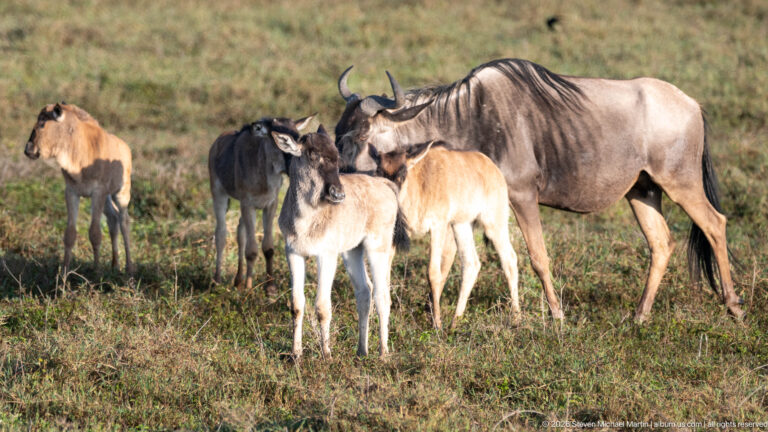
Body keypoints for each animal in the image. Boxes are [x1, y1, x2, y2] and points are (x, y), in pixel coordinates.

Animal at [24, 102, 134, 275]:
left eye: (42, 123)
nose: (28, 150)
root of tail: (126, 148)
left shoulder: (98, 193)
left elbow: (95, 233)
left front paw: (96, 271)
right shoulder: (72, 192)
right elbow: (70, 233)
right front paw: (64, 273)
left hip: (121, 194)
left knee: (124, 222)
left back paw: (129, 268)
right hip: (107, 199)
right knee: (113, 219)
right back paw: (115, 265)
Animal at [208, 115, 313, 295]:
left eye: (298, 138)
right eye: (279, 141)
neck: (265, 173)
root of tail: (216, 143)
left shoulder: (270, 204)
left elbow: (268, 247)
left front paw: (270, 287)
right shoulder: (248, 204)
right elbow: (251, 250)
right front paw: (249, 288)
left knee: (240, 231)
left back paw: (238, 280)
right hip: (219, 194)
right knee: (221, 234)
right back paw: (217, 281)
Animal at [271, 125, 408, 359]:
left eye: (336, 157)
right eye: (312, 154)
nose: (338, 194)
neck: (306, 220)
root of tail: (385, 184)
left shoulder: (326, 255)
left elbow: (322, 306)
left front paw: (326, 354)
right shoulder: (293, 253)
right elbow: (296, 304)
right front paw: (295, 354)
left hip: (377, 247)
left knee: (382, 295)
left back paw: (383, 354)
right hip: (352, 252)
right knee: (364, 291)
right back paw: (361, 351)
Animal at [374, 142, 520, 329]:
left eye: (403, 173)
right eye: (378, 171)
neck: (419, 184)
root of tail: (492, 167)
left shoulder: (438, 227)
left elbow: (433, 273)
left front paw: (436, 323)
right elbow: (384, 273)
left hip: (494, 224)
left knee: (509, 260)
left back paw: (516, 317)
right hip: (461, 225)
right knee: (471, 264)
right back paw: (455, 322)